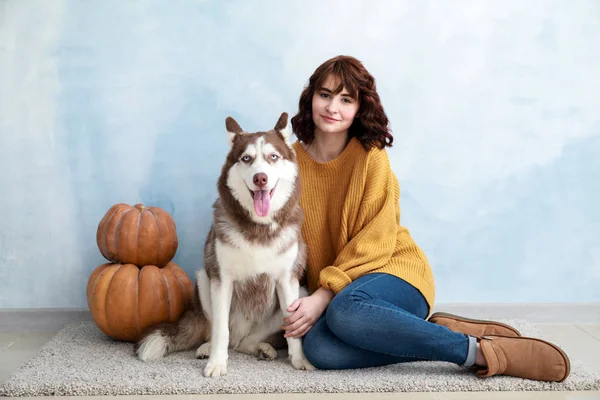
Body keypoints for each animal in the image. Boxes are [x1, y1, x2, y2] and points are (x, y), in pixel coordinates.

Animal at [135, 113, 314, 378]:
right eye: (246, 158)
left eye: (273, 157)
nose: (260, 178)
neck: (258, 228)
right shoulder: (221, 279)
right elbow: (220, 330)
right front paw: (217, 363)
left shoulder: (287, 280)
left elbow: (294, 331)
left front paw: (299, 359)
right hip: (203, 279)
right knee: (221, 334)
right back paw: (207, 348)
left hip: (300, 293)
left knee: (244, 343)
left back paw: (261, 347)